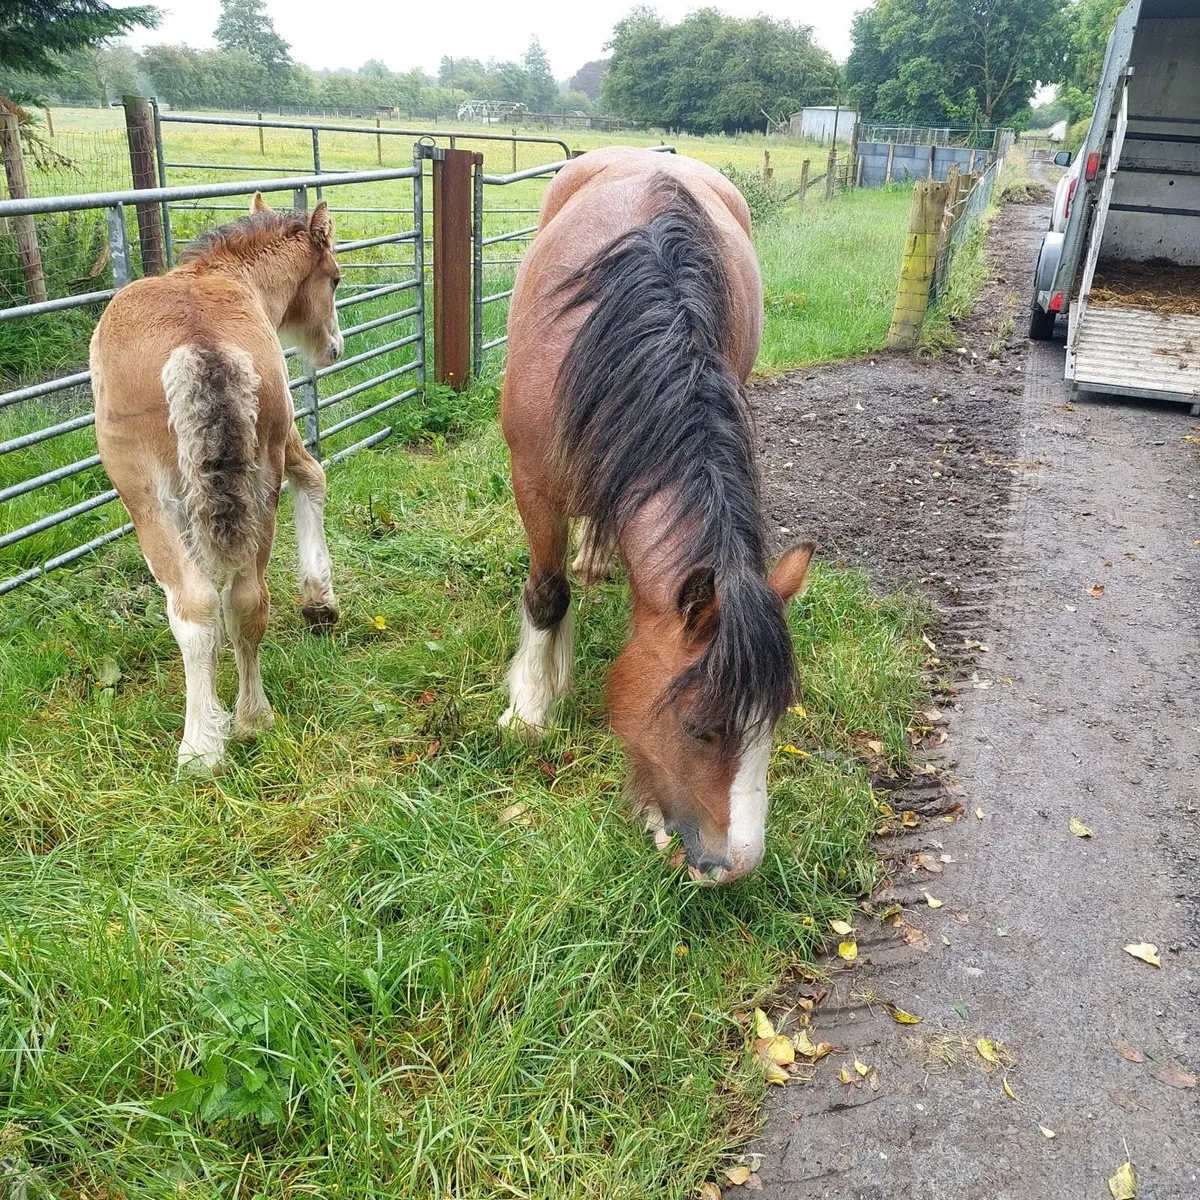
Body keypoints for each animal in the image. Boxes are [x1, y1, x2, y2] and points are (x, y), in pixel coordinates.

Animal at [90, 195, 343, 772]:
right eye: (336, 280)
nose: (335, 348)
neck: (221, 274)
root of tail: (197, 344)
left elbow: (315, 477)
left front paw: (320, 600)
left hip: (148, 500)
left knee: (194, 606)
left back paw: (202, 744)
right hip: (257, 480)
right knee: (247, 598)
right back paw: (253, 719)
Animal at [499, 147, 814, 884]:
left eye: (773, 727)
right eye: (700, 727)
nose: (736, 865)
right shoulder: (532, 479)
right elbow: (546, 593)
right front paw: (531, 706)